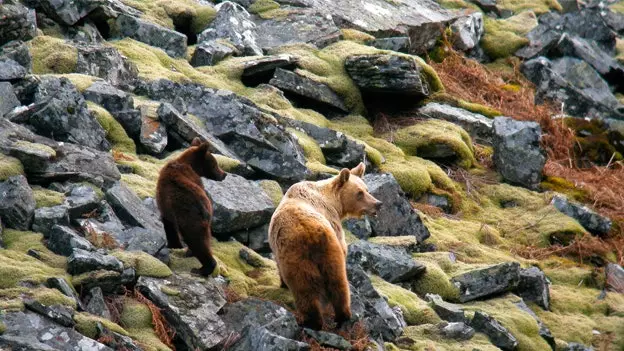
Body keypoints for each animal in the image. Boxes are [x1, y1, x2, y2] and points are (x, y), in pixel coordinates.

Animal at [157, 138, 228, 278]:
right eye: (215, 164)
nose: (224, 174)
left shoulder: (165, 203)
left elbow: (168, 224)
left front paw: (173, 245)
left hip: (190, 218)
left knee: (196, 240)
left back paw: (201, 269)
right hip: (206, 219)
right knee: (204, 239)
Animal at [266, 164, 380, 332]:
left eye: (367, 189)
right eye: (360, 192)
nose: (378, 204)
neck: (333, 203)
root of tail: (310, 231)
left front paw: (282, 284)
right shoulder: (336, 227)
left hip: (305, 256)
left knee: (312, 288)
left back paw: (315, 321)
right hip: (321, 251)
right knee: (336, 284)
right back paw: (337, 317)